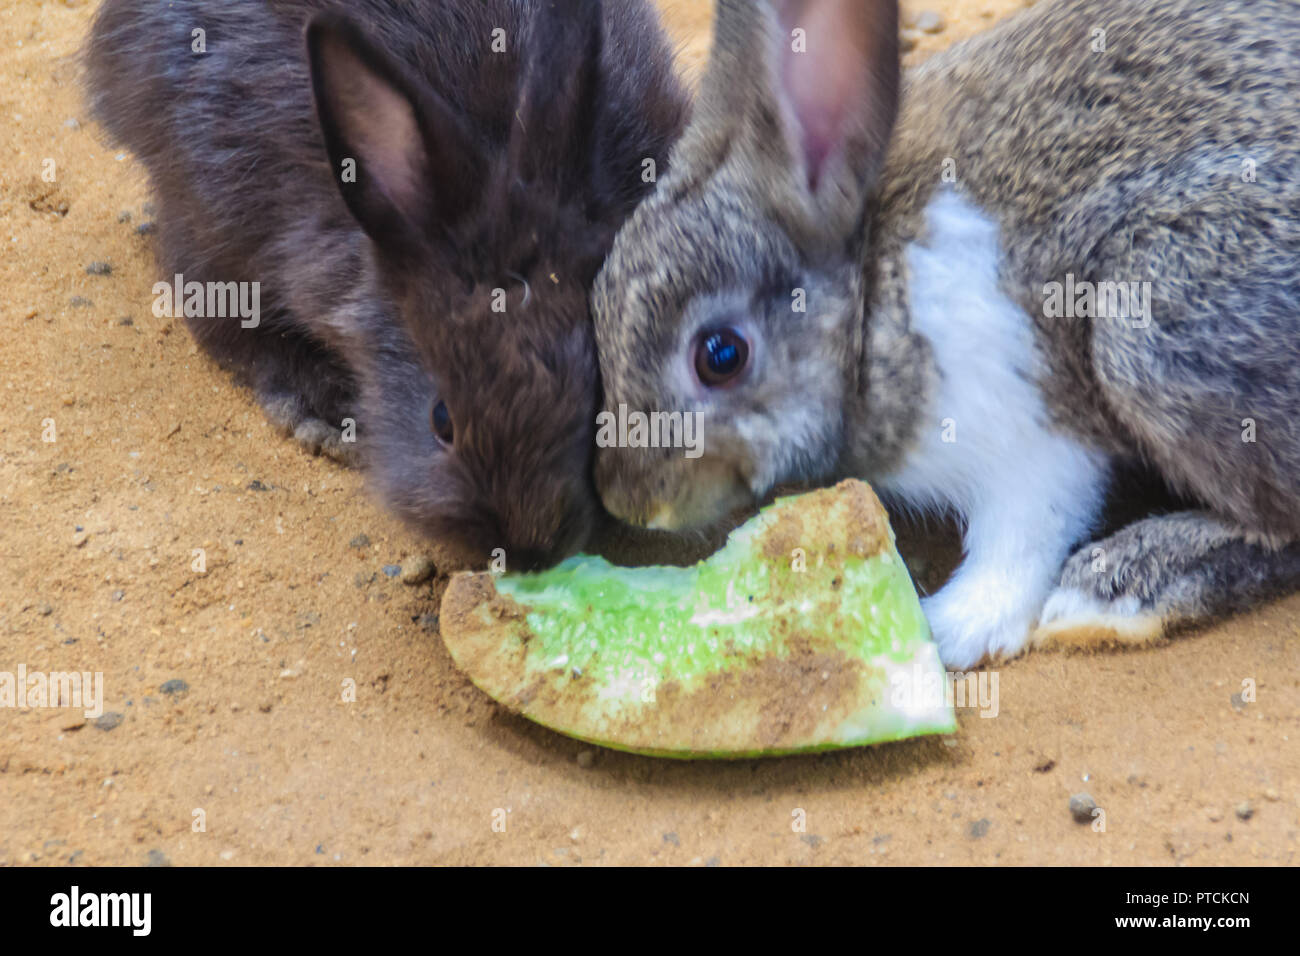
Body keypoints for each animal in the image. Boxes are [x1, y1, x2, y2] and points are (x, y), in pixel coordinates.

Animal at [590, 0, 1300, 667]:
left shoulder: (1028, 433)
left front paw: (948, 630)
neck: (870, 302)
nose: (628, 499)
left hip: (1151, 339)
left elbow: (1023, 534)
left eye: (721, 356)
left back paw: (1111, 593)